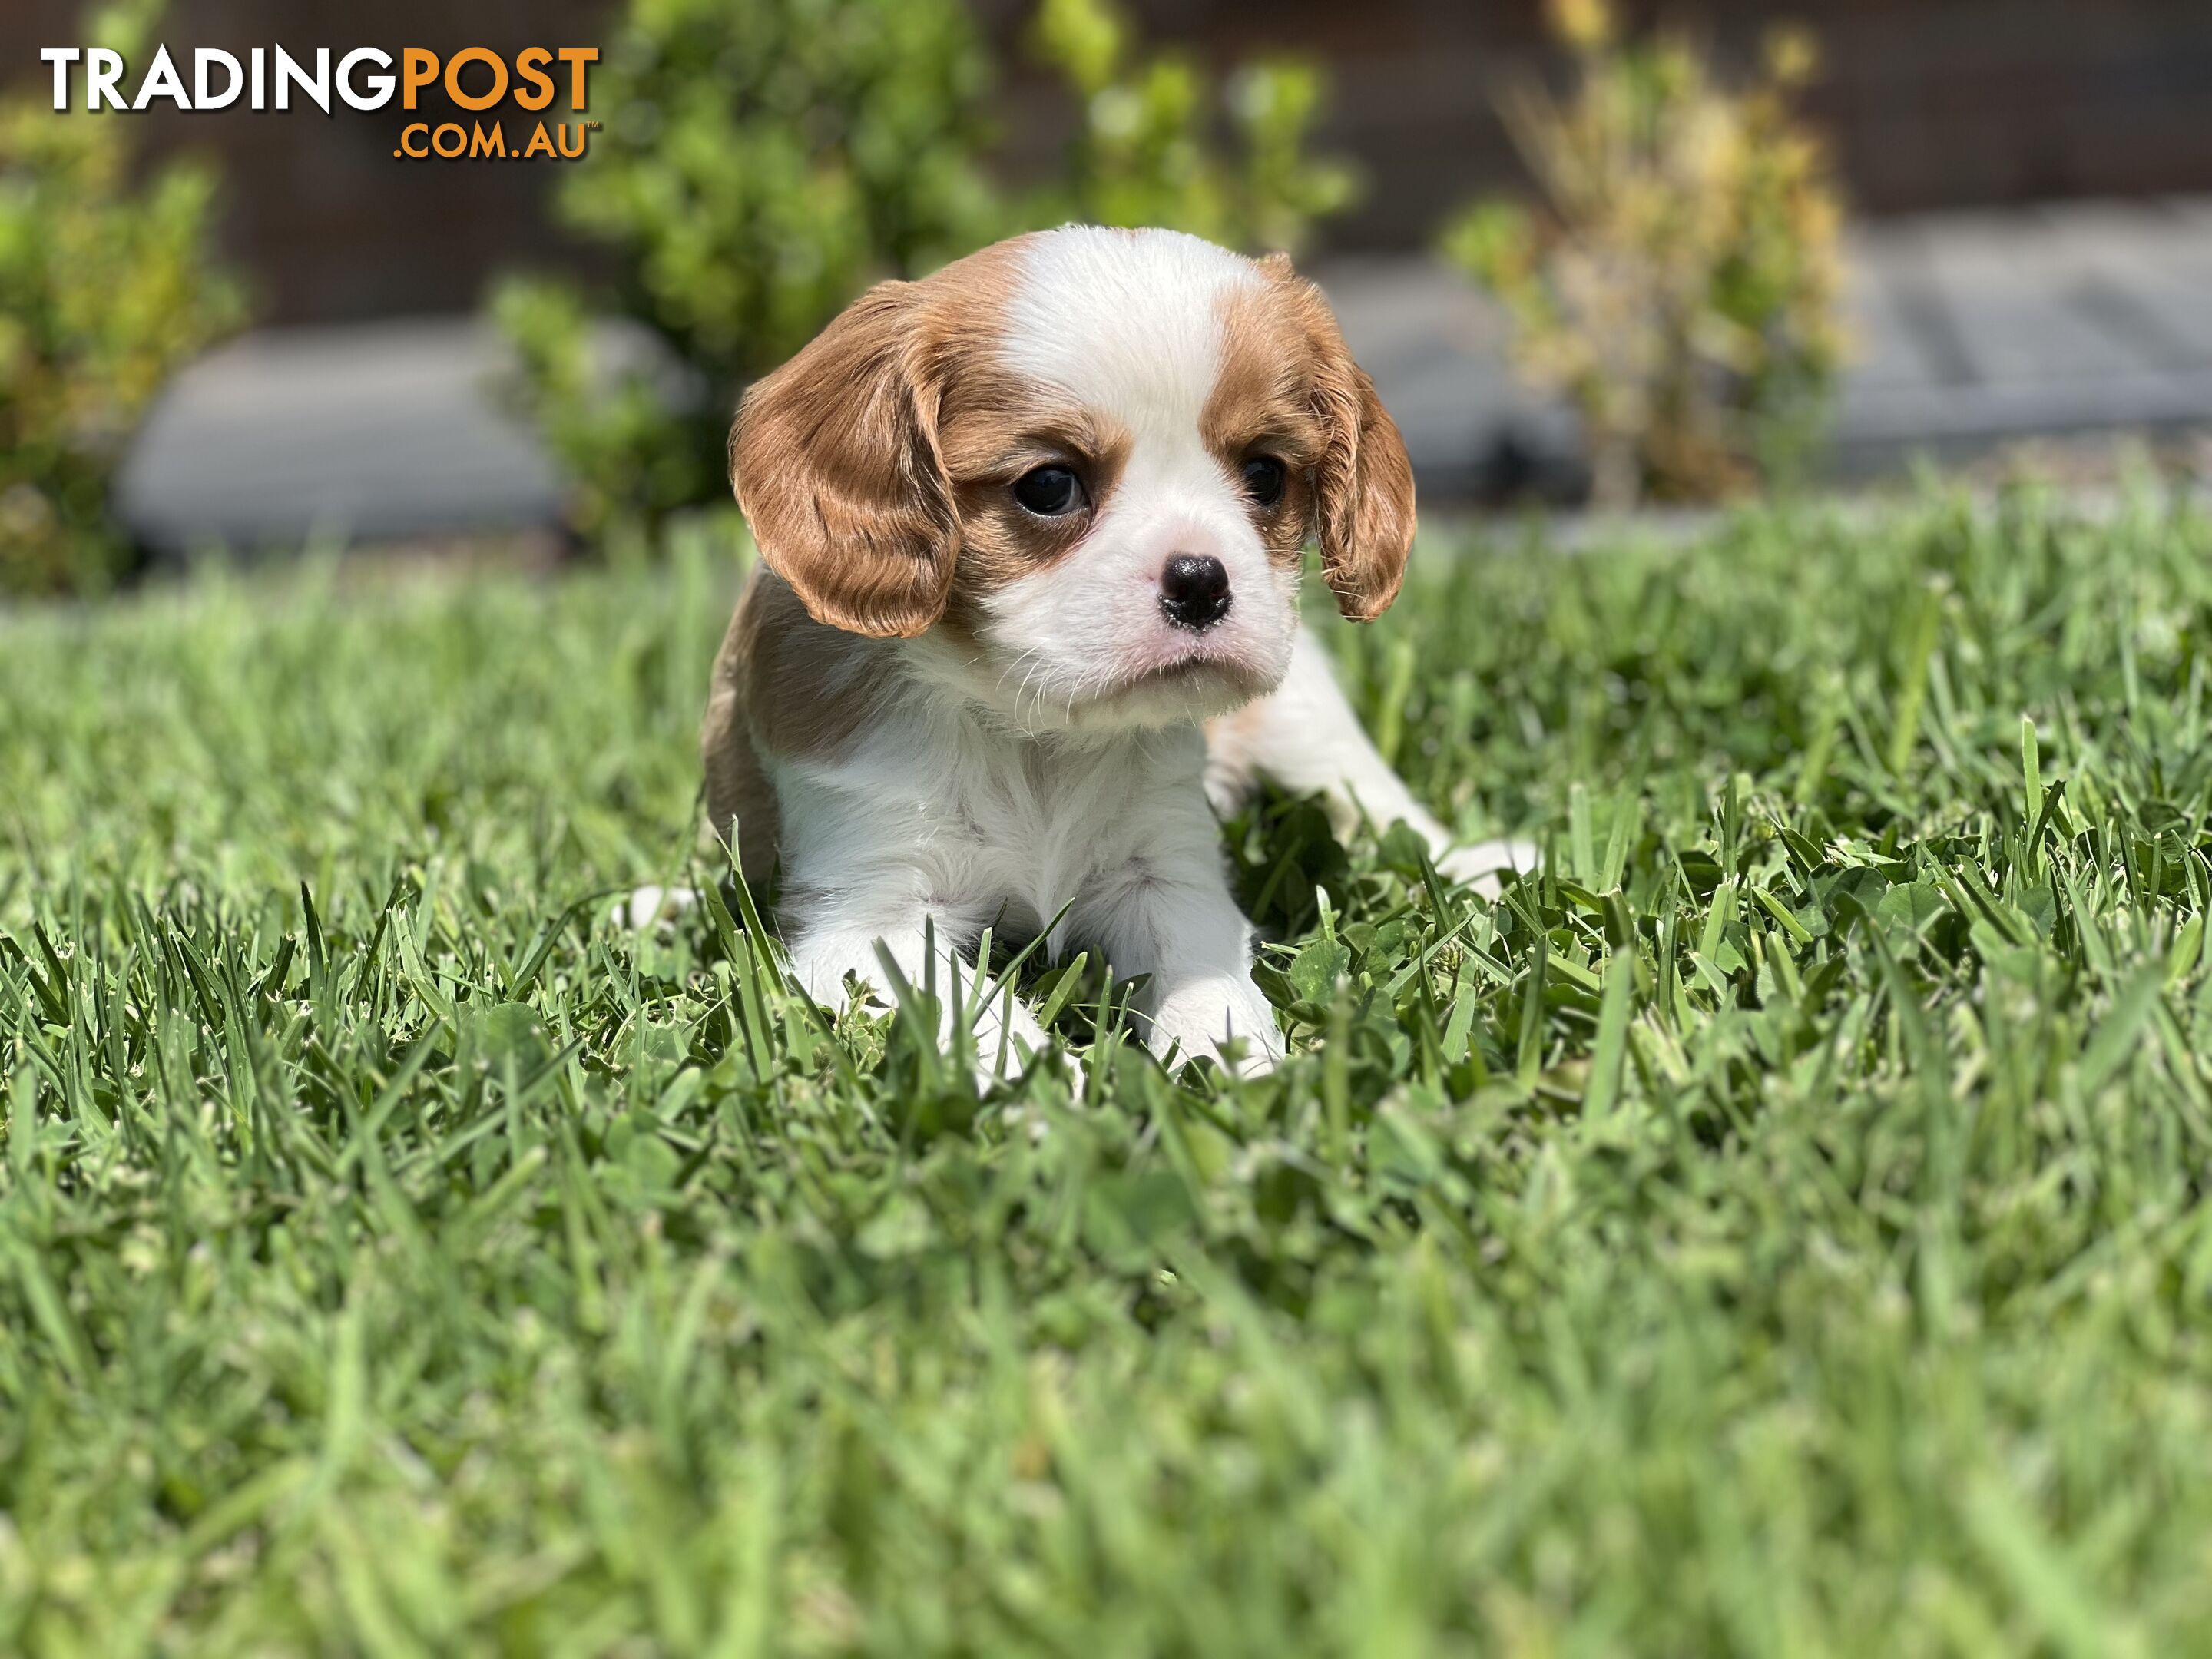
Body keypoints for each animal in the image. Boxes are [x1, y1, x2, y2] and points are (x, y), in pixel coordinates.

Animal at [699, 224, 1530, 1079]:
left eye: (1266, 474)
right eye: (1049, 486)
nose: (1200, 581)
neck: (1035, 732)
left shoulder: (1167, 871)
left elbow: (1208, 980)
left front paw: (1235, 1070)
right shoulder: (868, 917)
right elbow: (974, 1013)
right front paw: (1042, 1089)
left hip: (1305, 715)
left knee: (1380, 806)